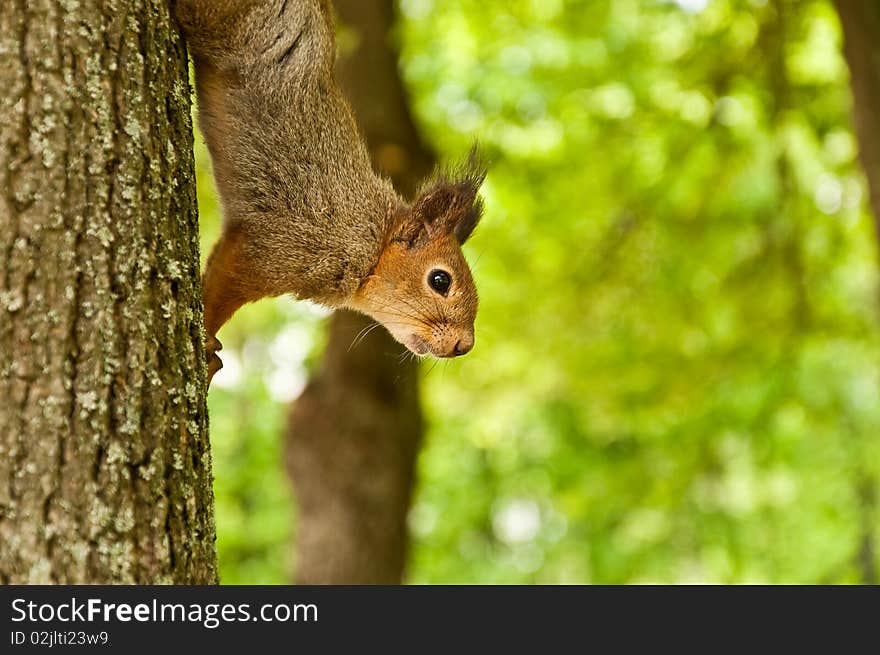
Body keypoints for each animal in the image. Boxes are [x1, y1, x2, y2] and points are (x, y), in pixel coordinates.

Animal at [174, 0, 484, 384]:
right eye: (440, 280)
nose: (464, 345)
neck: (371, 242)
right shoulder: (275, 248)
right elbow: (221, 289)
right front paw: (205, 336)